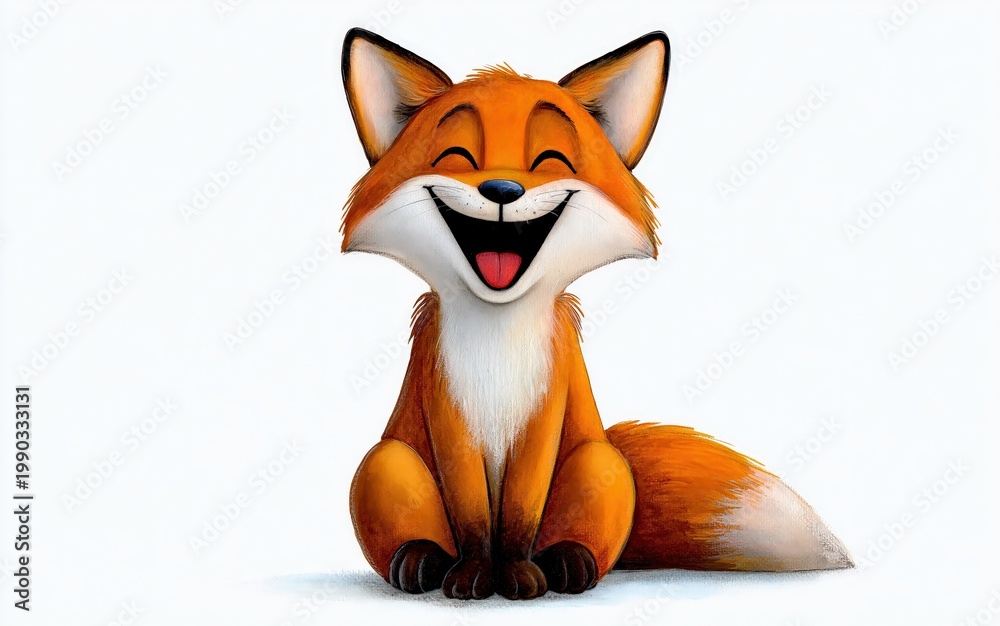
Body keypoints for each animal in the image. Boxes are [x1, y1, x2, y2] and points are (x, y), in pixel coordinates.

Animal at [340, 28, 852, 600]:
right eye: (457, 156)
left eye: (550, 160)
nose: (502, 190)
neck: (498, 339)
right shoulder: (446, 411)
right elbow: (472, 516)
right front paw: (474, 574)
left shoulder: (545, 412)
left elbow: (519, 513)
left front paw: (515, 574)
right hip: (387, 461)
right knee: (409, 520)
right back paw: (421, 559)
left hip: (598, 462)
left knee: (578, 533)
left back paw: (566, 562)